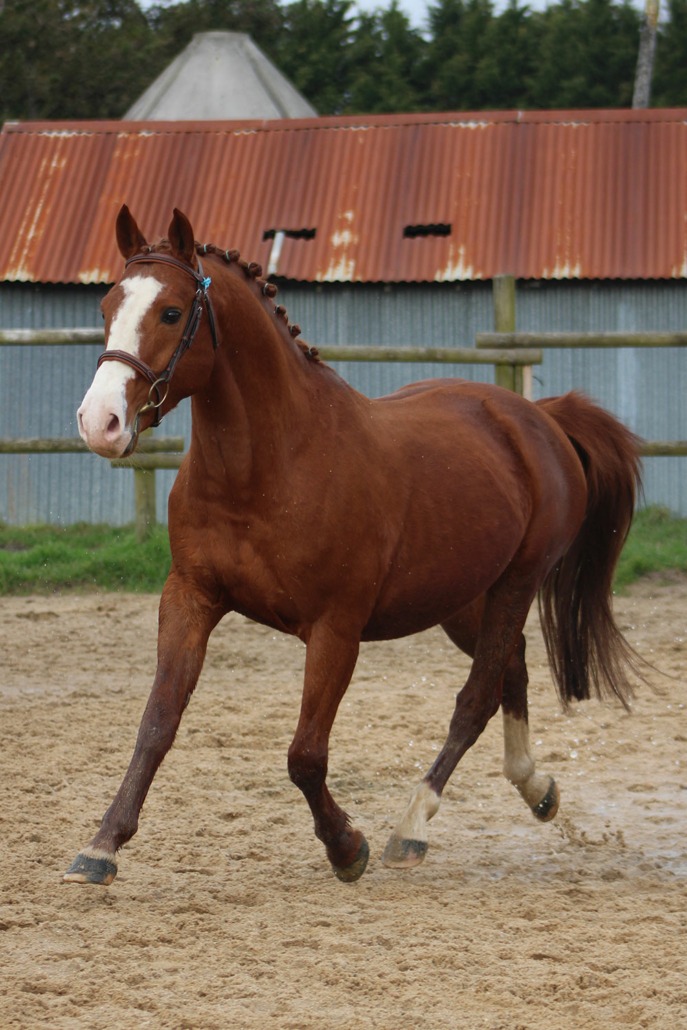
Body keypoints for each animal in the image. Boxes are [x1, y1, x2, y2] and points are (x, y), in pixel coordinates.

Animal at [66, 207, 642, 885]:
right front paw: (102, 846)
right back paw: (536, 788)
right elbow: (157, 723)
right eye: (107, 305)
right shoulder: (190, 597)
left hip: (516, 583)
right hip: (461, 599)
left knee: (476, 697)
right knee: (513, 670)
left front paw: (347, 846)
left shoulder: (335, 629)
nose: (100, 422)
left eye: (173, 312)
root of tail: (537, 417)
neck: (267, 469)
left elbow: (305, 755)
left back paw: (412, 826)